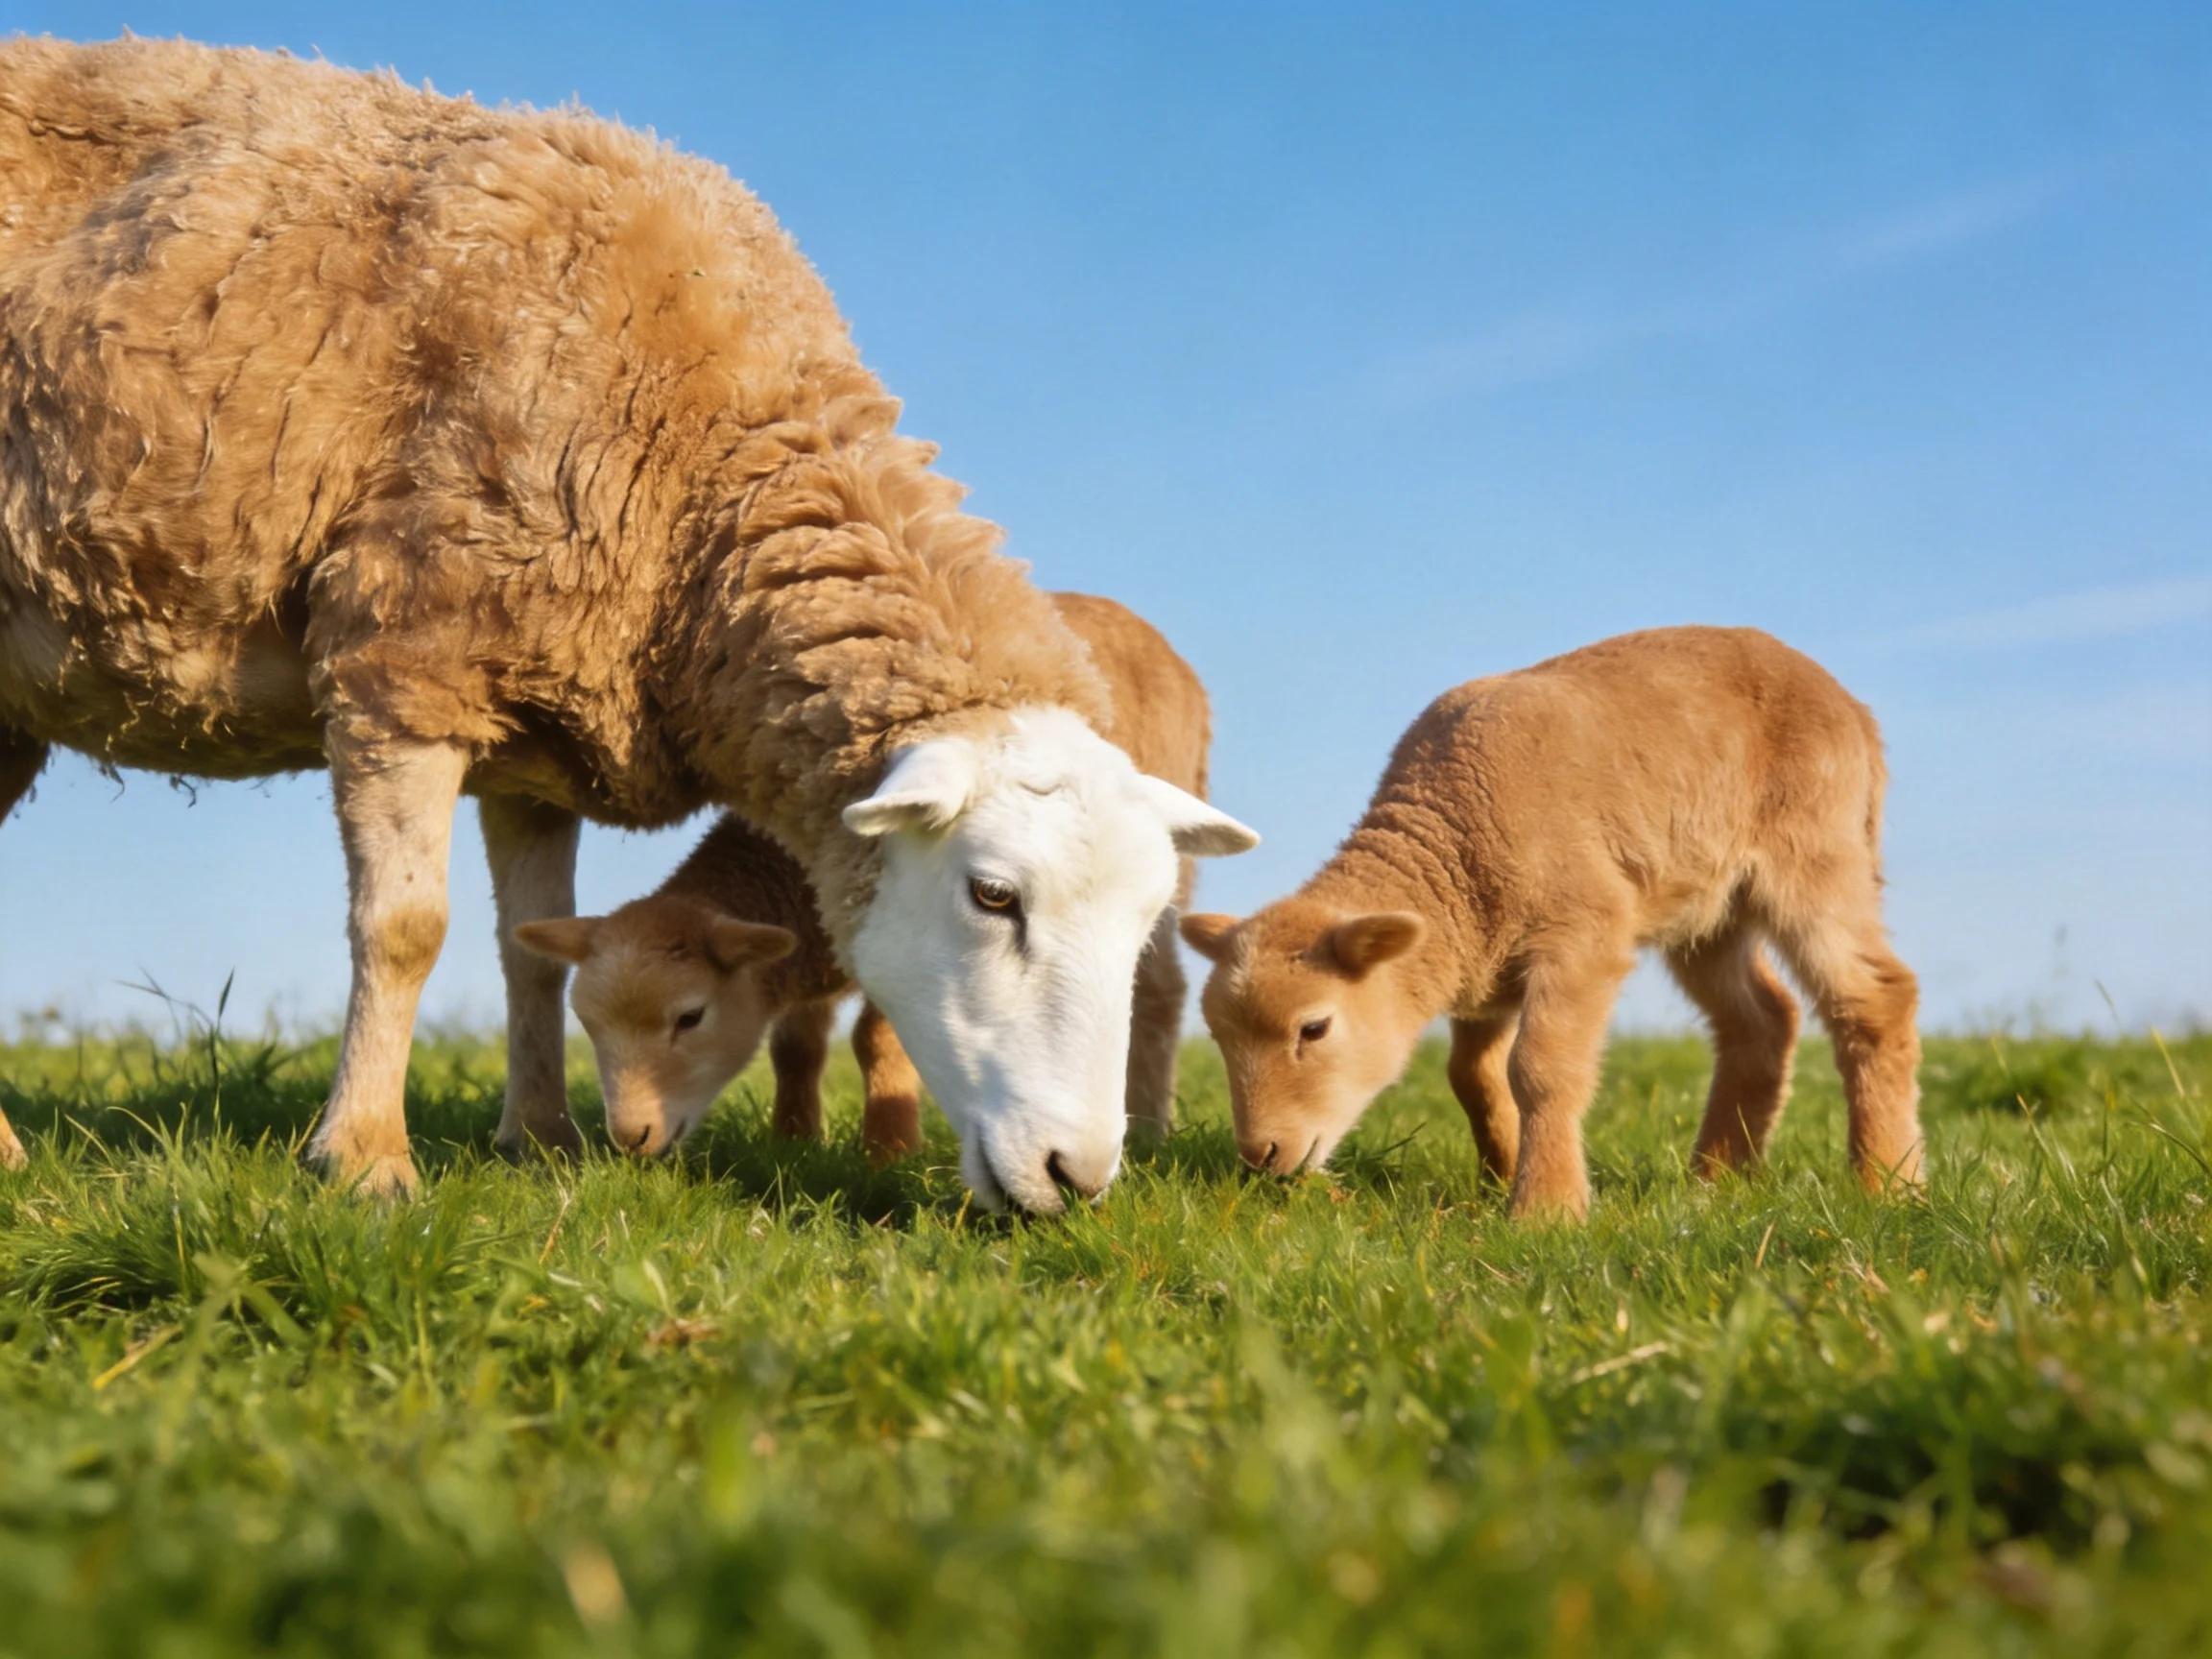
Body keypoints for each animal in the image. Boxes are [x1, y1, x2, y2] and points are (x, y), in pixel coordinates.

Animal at [513, 592, 1215, 1160]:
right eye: (588, 1024)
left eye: (690, 1018)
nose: (630, 1139)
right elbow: (796, 1043)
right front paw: (795, 1138)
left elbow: (878, 1037)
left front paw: (889, 1151)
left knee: (1161, 991)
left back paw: (1150, 1128)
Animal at [1179, 627, 1922, 1222]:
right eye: (1217, 1037)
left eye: (1314, 1029)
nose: (1261, 1155)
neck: (1453, 849)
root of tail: (1854, 710)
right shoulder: (1483, 963)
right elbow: (1472, 1076)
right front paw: (1503, 1173)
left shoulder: (1581, 936)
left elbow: (1540, 1069)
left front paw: (1546, 1208)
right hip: (1706, 908)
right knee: (1761, 1020)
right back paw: (1716, 1180)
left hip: (1817, 852)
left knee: (1874, 997)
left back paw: (1888, 1181)